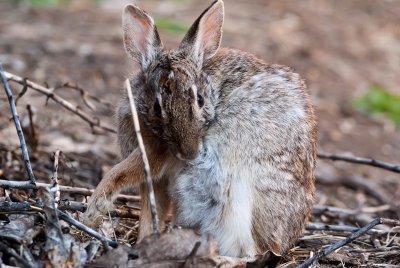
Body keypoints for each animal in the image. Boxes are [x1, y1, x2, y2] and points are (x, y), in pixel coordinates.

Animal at [83, 0, 318, 258]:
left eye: (200, 99)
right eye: (157, 106)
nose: (191, 154)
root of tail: (285, 241)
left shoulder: (153, 155)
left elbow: (119, 173)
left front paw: (93, 210)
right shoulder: (155, 181)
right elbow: (152, 211)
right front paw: (143, 241)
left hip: (237, 195)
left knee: (251, 250)